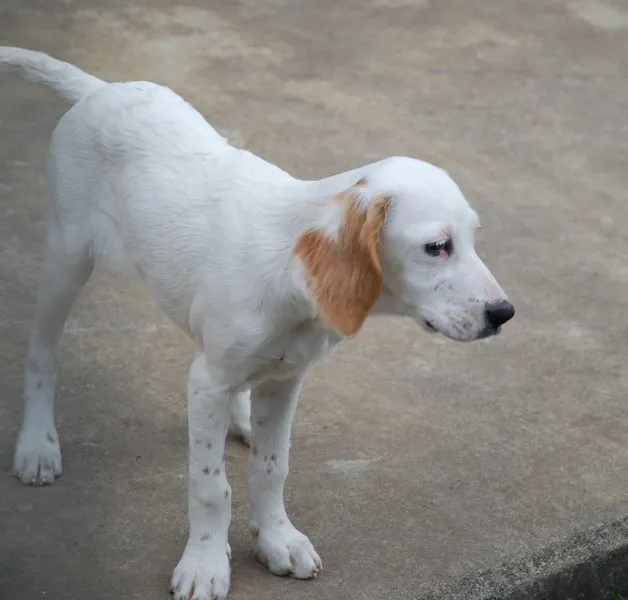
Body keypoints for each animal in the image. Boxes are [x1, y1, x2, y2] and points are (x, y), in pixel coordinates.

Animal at [1, 49, 516, 600]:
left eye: (473, 238)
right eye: (436, 246)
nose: (504, 313)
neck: (292, 284)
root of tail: (101, 89)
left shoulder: (284, 380)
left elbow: (273, 467)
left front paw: (276, 539)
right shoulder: (207, 381)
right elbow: (210, 484)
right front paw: (205, 562)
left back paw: (241, 416)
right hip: (67, 255)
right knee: (42, 351)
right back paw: (37, 444)